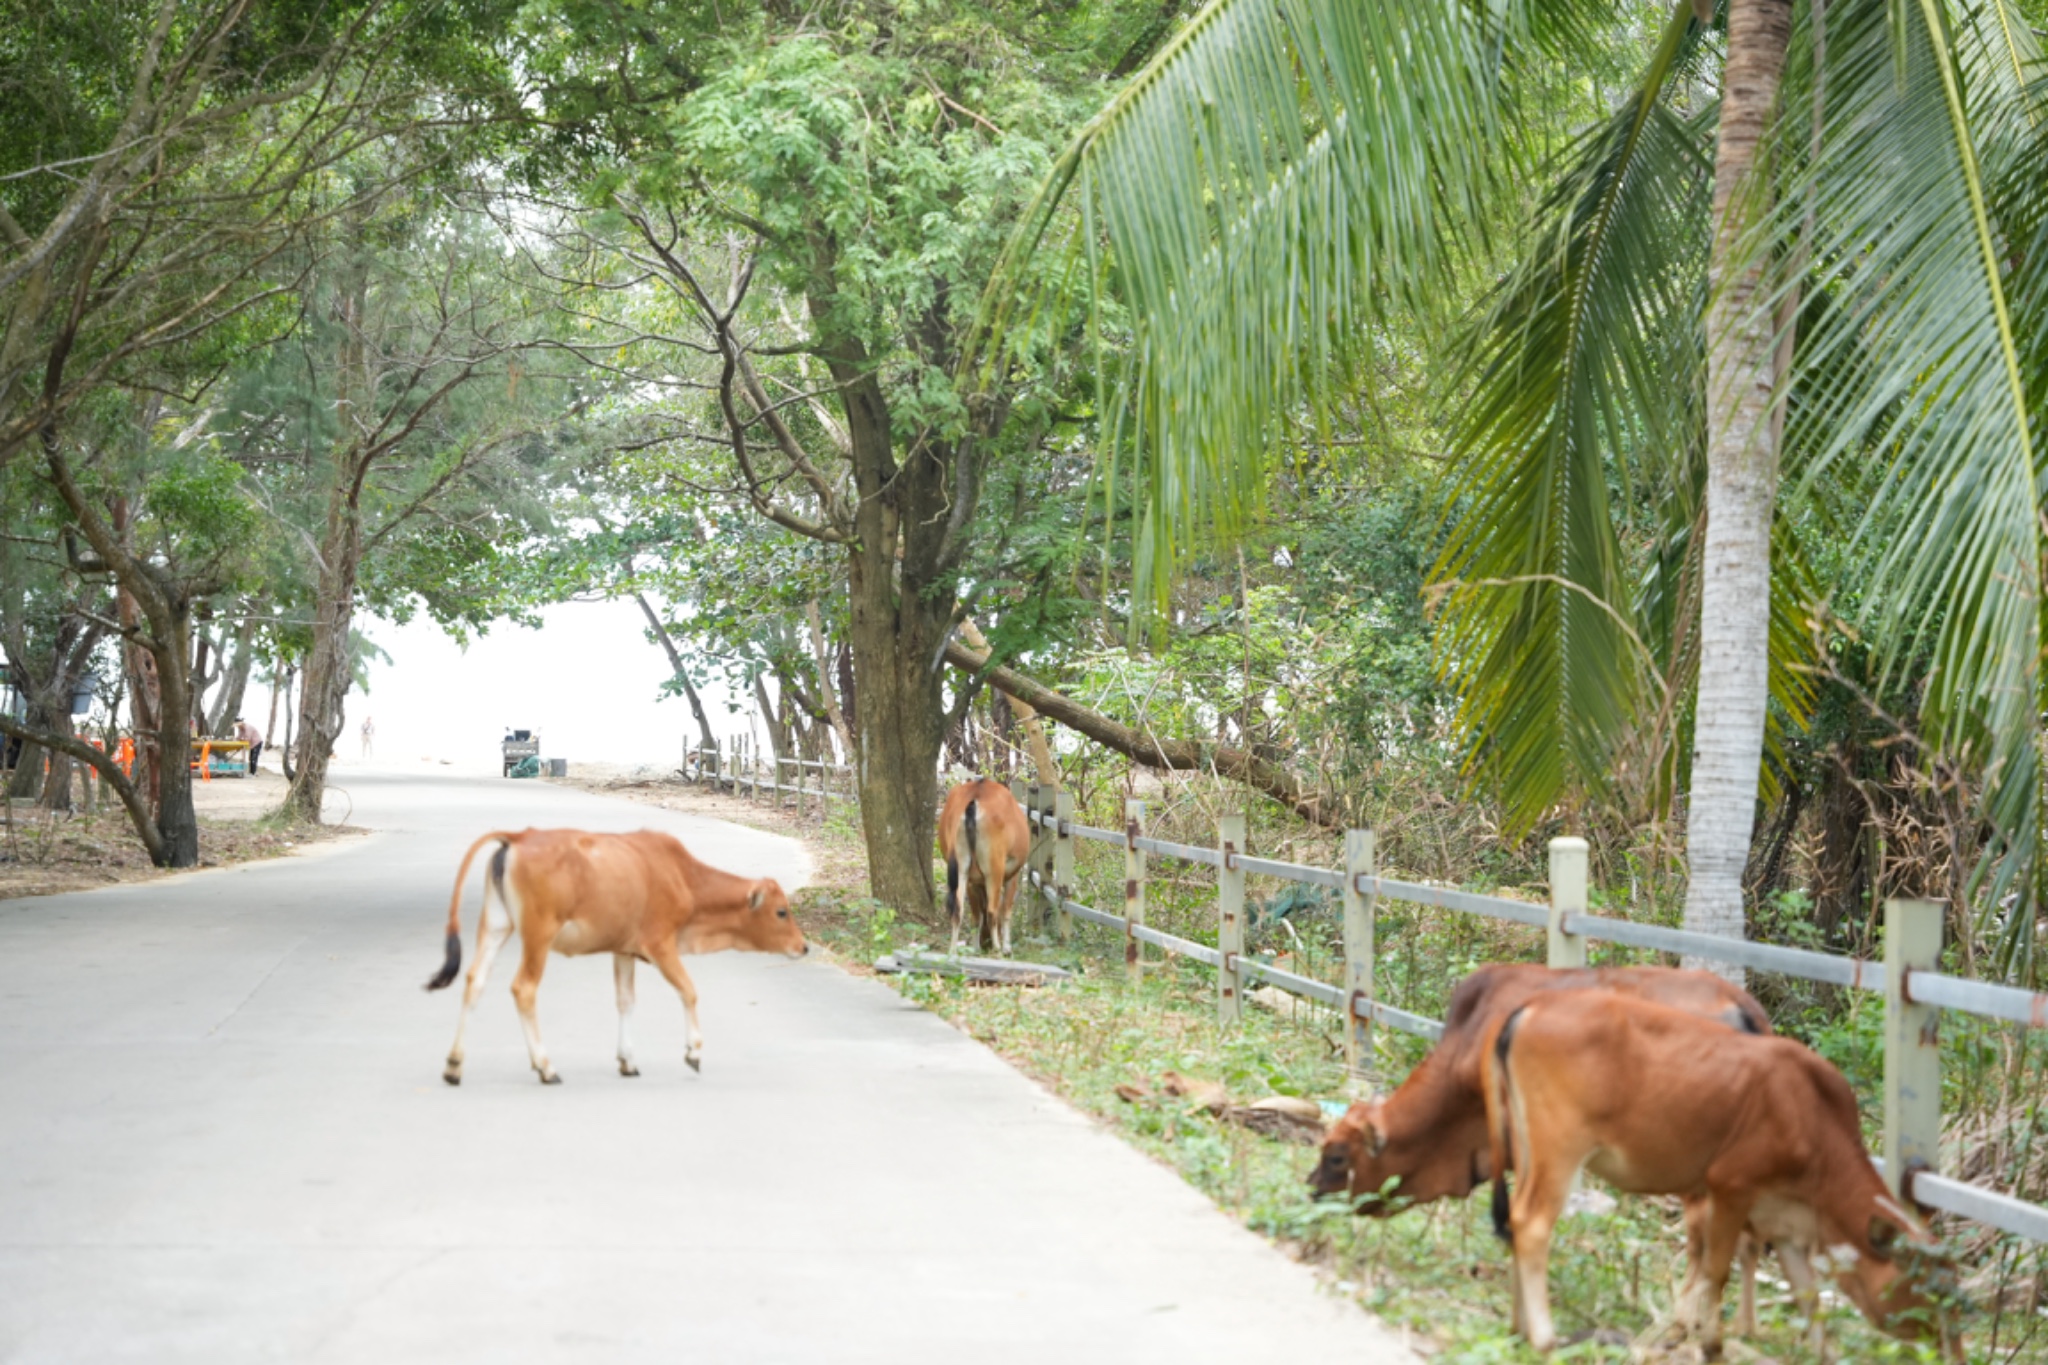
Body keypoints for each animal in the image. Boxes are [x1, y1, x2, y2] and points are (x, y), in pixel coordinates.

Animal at [428, 826, 802, 1080]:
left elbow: (626, 1001)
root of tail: (519, 836)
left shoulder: (624, 951)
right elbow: (688, 991)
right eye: (781, 911)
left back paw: (454, 1065)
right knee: (524, 989)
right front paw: (693, 1051)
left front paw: (628, 1060)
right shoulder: (660, 945)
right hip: (538, 936)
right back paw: (546, 1067)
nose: (804, 946)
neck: (683, 877)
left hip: (495, 926)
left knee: (475, 981)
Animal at [937, 777, 1032, 961]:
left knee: (958, 909)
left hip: (962, 870)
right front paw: (1007, 948)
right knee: (992, 911)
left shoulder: (973, 882)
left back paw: (952, 950)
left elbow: (976, 915)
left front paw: (976, 947)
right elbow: (1006, 911)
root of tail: (975, 798)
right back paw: (997, 949)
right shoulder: (1012, 876)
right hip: (994, 871)